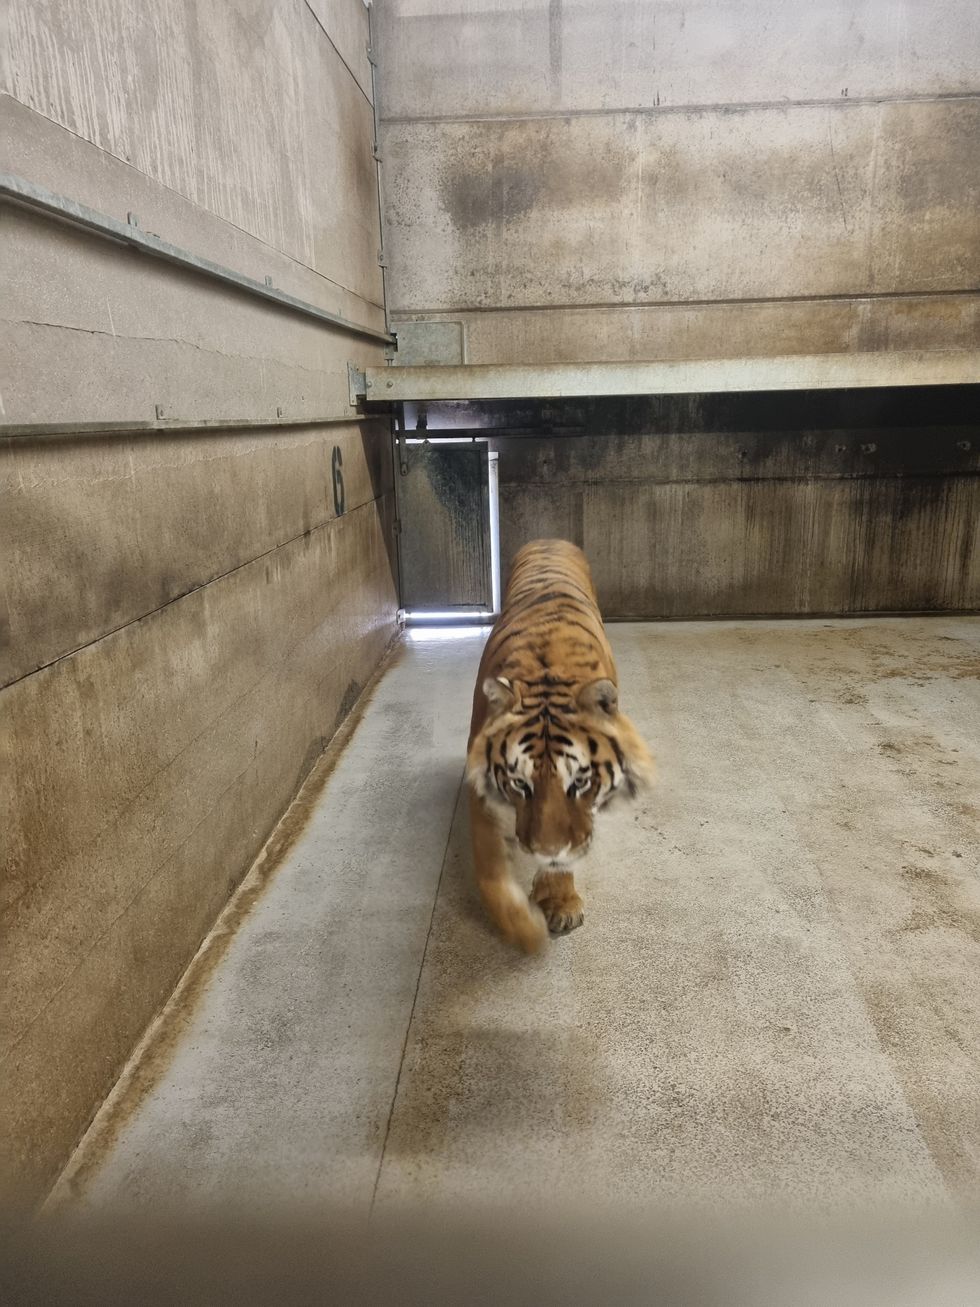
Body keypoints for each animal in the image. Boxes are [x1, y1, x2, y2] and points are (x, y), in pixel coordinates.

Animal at [466, 539, 655, 953]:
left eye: (580, 782)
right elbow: (488, 865)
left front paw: (560, 903)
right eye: (519, 784)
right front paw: (524, 928)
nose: (545, 851)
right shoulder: (482, 790)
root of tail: (549, 539)